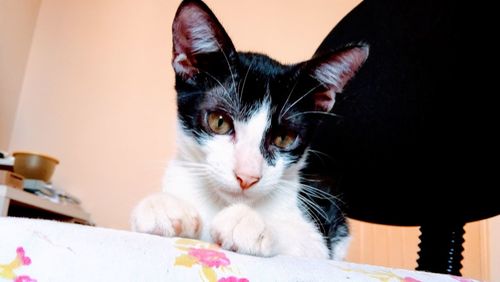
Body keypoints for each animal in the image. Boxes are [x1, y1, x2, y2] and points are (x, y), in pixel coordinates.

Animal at [131, 0, 370, 260]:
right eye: (219, 122)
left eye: (284, 138)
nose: (247, 177)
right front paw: (164, 206)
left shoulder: (319, 236)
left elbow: (306, 242)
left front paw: (250, 222)